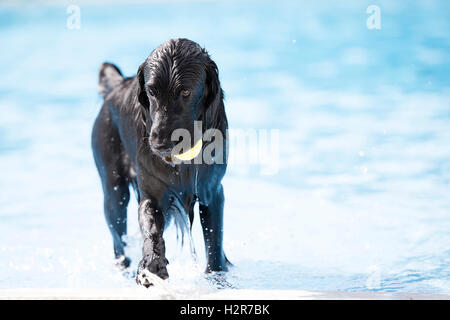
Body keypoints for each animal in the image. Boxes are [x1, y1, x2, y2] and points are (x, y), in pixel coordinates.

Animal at [92, 38, 230, 286]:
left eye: (185, 91)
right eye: (151, 91)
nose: (159, 143)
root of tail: (116, 85)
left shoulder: (213, 192)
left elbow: (214, 242)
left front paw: (218, 277)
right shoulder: (152, 194)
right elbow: (151, 230)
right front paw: (151, 266)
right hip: (113, 191)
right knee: (118, 240)